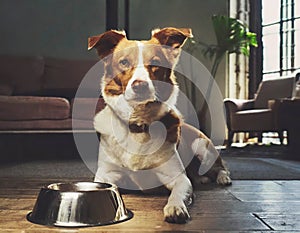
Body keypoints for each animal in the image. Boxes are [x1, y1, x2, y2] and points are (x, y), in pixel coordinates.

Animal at [88, 27, 231, 224]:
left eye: (155, 63)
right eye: (124, 62)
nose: (140, 85)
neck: (138, 124)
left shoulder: (179, 178)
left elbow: (177, 193)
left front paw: (175, 207)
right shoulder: (106, 174)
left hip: (203, 149)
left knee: (221, 166)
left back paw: (223, 178)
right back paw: (202, 178)